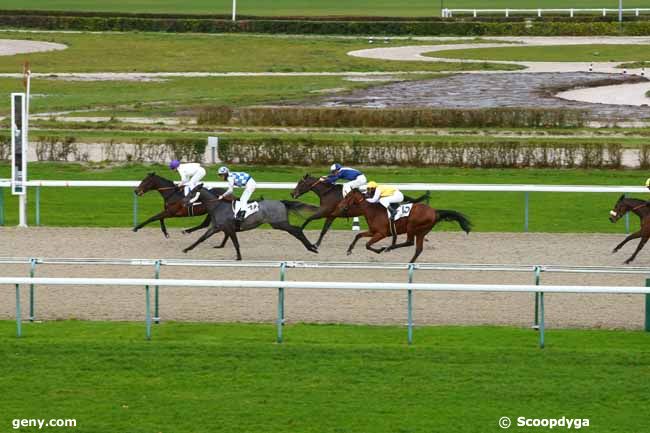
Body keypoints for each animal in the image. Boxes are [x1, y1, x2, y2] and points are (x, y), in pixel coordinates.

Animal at [181, 183, 318, 260]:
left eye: (192, 193)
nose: (183, 202)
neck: (217, 206)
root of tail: (281, 202)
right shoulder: (216, 227)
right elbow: (201, 238)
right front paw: (186, 249)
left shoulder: (229, 228)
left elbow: (236, 243)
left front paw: (239, 257)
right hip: (278, 224)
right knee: (296, 230)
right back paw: (311, 247)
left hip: (280, 223)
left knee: (297, 230)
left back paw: (312, 248)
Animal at [292, 171, 428, 246]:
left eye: (300, 183)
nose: (292, 194)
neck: (327, 192)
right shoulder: (331, 215)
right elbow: (324, 230)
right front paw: (316, 244)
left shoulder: (325, 211)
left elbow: (309, 219)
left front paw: (298, 231)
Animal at [332, 190, 468, 264]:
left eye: (347, 196)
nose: (339, 206)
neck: (372, 210)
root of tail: (435, 212)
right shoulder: (373, 231)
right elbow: (358, 235)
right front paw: (349, 250)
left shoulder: (381, 233)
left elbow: (367, 244)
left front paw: (380, 249)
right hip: (421, 232)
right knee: (418, 249)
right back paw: (409, 262)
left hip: (412, 227)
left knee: (409, 242)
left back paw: (389, 248)